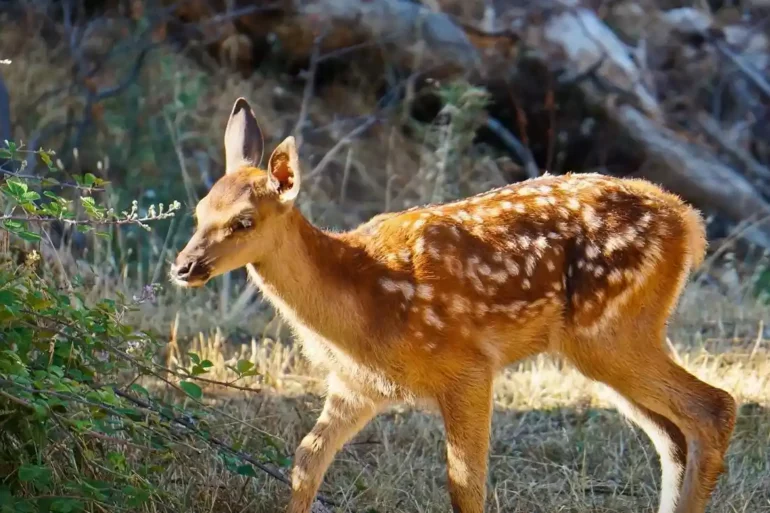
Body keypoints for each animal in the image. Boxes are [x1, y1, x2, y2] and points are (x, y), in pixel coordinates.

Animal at [171, 98, 736, 512]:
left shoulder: (469, 366)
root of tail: (689, 222)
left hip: (610, 331)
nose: (184, 266)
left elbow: (464, 484)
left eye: (243, 221)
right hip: (603, 347)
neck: (362, 304)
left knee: (714, 408)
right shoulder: (357, 386)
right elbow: (306, 461)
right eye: (199, 210)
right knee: (674, 436)